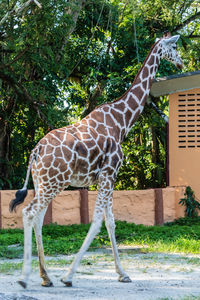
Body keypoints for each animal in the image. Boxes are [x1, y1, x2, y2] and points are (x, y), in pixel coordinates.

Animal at [9, 33, 183, 288]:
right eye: (174, 46)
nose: (181, 63)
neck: (122, 122)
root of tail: (36, 150)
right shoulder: (109, 173)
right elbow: (98, 221)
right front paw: (68, 276)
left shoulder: (107, 176)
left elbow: (110, 221)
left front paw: (122, 273)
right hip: (54, 182)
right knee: (29, 213)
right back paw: (24, 278)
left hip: (42, 183)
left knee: (38, 217)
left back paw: (45, 276)